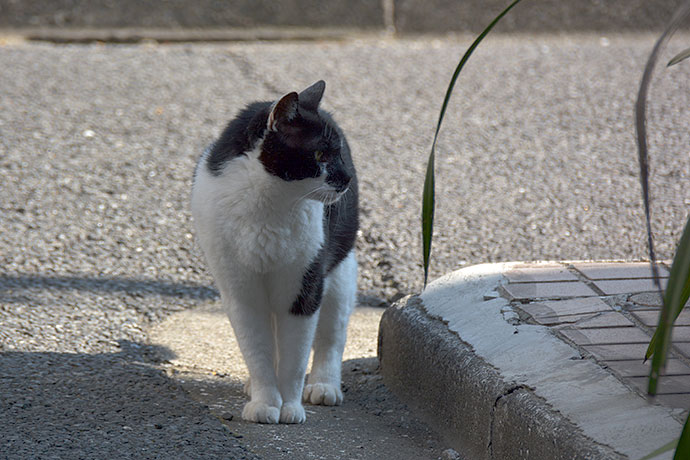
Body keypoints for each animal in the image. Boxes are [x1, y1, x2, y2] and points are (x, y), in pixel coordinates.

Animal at [191, 80, 358, 424]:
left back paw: (324, 386)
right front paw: (266, 402)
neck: (268, 205)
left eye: (338, 154)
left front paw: (290, 408)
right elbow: (257, 352)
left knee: (332, 336)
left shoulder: (305, 287)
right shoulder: (241, 292)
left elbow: (296, 358)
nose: (347, 177)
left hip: (340, 273)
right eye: (320, 154)